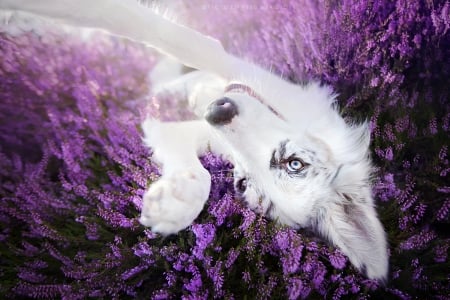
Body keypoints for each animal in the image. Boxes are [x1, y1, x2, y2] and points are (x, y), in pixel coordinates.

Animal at [0, 0, 386, 282]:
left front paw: (176, 201)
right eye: (295, 164)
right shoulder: (219, 61)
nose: (219, 113)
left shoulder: (176, 123)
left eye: (242, 184)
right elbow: (149, 26)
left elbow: (195, 170)